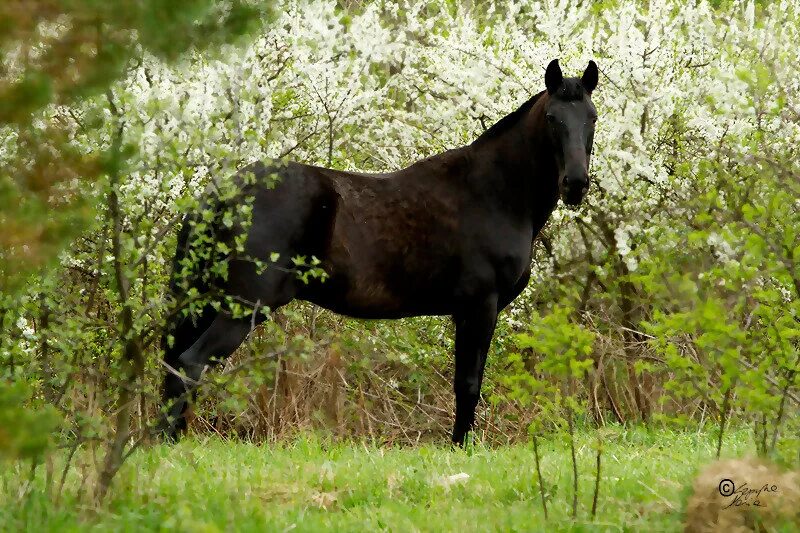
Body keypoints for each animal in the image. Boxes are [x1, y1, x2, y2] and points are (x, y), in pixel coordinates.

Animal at [161, 59, 600, 444]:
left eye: (592, 118)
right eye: (552, 119)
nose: (575, 183)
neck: (494, 193)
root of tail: (219, 195)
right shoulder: (480, 306)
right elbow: (468, 384)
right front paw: (460, 447)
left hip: (208, 300)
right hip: (244, 305)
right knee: (191, 363)